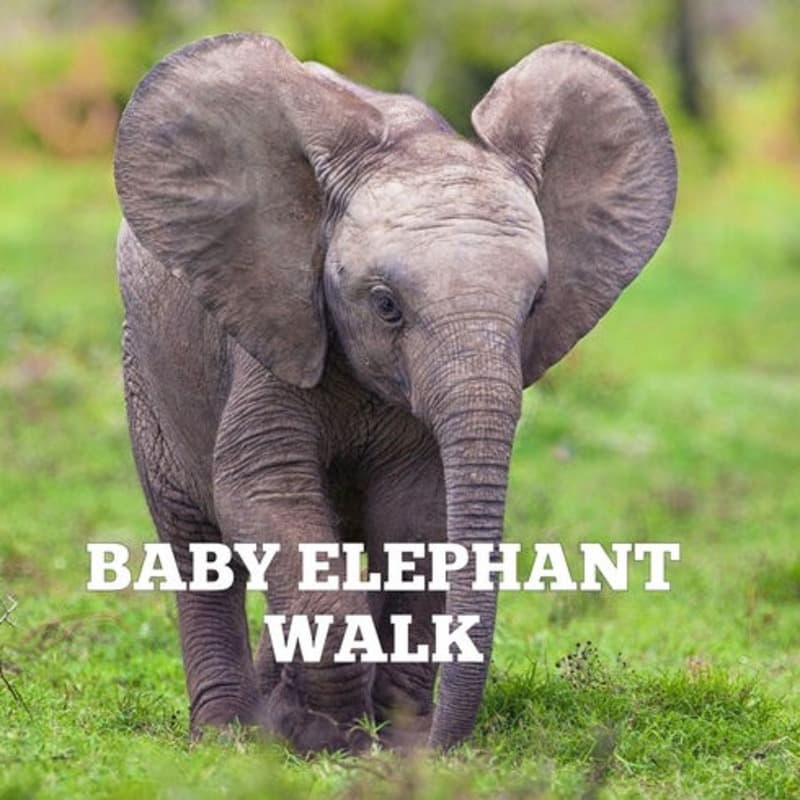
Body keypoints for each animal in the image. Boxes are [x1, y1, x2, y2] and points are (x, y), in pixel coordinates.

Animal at [113, 33, 676, 753]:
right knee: (196, 544)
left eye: (534, 305)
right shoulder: (273, 332)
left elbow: (417, 518)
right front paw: (323, 735)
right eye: (385, 305)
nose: (432, 742)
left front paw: (371, 734)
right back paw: (224, 734)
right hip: (145, 366)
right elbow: (264, 494)